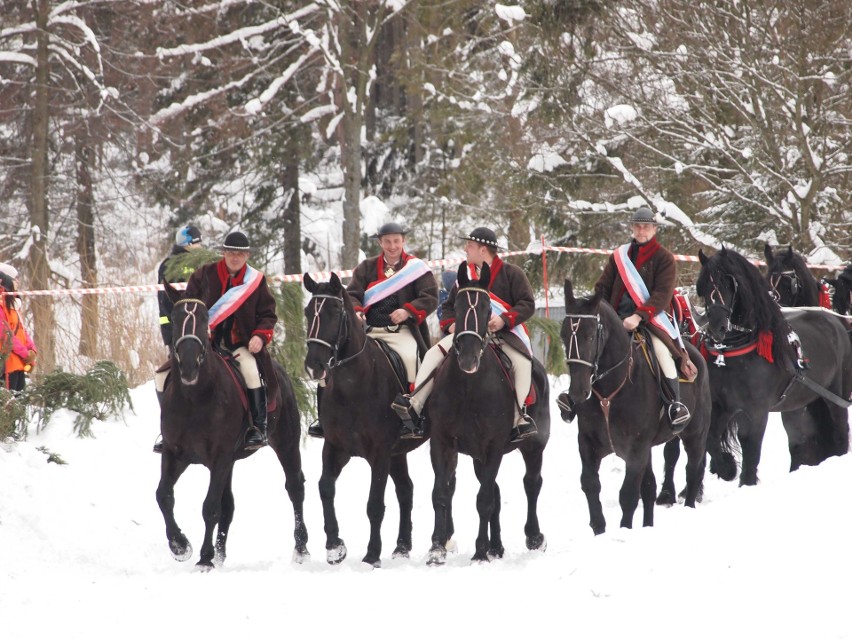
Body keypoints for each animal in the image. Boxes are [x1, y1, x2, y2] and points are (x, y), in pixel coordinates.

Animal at [156, 284, 310, 568]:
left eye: (204, 319)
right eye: (174, 319)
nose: (189, 366)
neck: (195, 398)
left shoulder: (220, 457)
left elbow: (210, 507)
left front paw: (204, 558)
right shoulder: (174, 454)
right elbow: (164, 495)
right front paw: (179, 545)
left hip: (286, 443)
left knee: (295, 488)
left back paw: (302, 548)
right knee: (228, 504)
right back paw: (220, 553)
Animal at [302, 272, 430, 568]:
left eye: (334, 311)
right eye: (308, 312)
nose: (314, 366)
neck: (352, 386)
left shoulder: (380, 453)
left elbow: (374, 504)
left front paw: (372, 554)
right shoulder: (335, 448)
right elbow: (325, 489)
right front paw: (334, 547)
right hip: (398, 453)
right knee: (405, 490)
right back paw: (402, 546)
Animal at [426, 262, 552, 564]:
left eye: (486, 308)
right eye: (457, 306)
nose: (468, 358)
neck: (468, 387)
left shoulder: (493, 446)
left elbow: (483, 500)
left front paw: (480, 551)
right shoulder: (442, 442)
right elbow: (441, 493)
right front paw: (437, 548)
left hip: (533, 446)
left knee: (531, 484)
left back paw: (533, 537)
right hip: (478, 456)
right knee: (494, 489)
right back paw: (497, 546)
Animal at [560, 280, 712, 536]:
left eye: (590, 336)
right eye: (563, 337)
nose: (578, 393)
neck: (610, 392)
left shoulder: (636, 449)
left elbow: (629, 494)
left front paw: (624, 530)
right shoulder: (589, 444)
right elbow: (591, 484)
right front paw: (599, 529)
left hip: (695, 435)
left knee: (692, 471)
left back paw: (689, 507)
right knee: (650, 487)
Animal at [700, 246, 852, 484]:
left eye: (728, 282)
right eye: (705, 284)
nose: (717, 326)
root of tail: (836, 322)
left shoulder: (756, 411)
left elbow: (751, 450)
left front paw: (746, 482)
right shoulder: (722, 406)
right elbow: (711, 439)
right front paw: (726, 467)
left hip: (836, 394)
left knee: (840, 430)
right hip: (797, 404)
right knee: (799, 441)